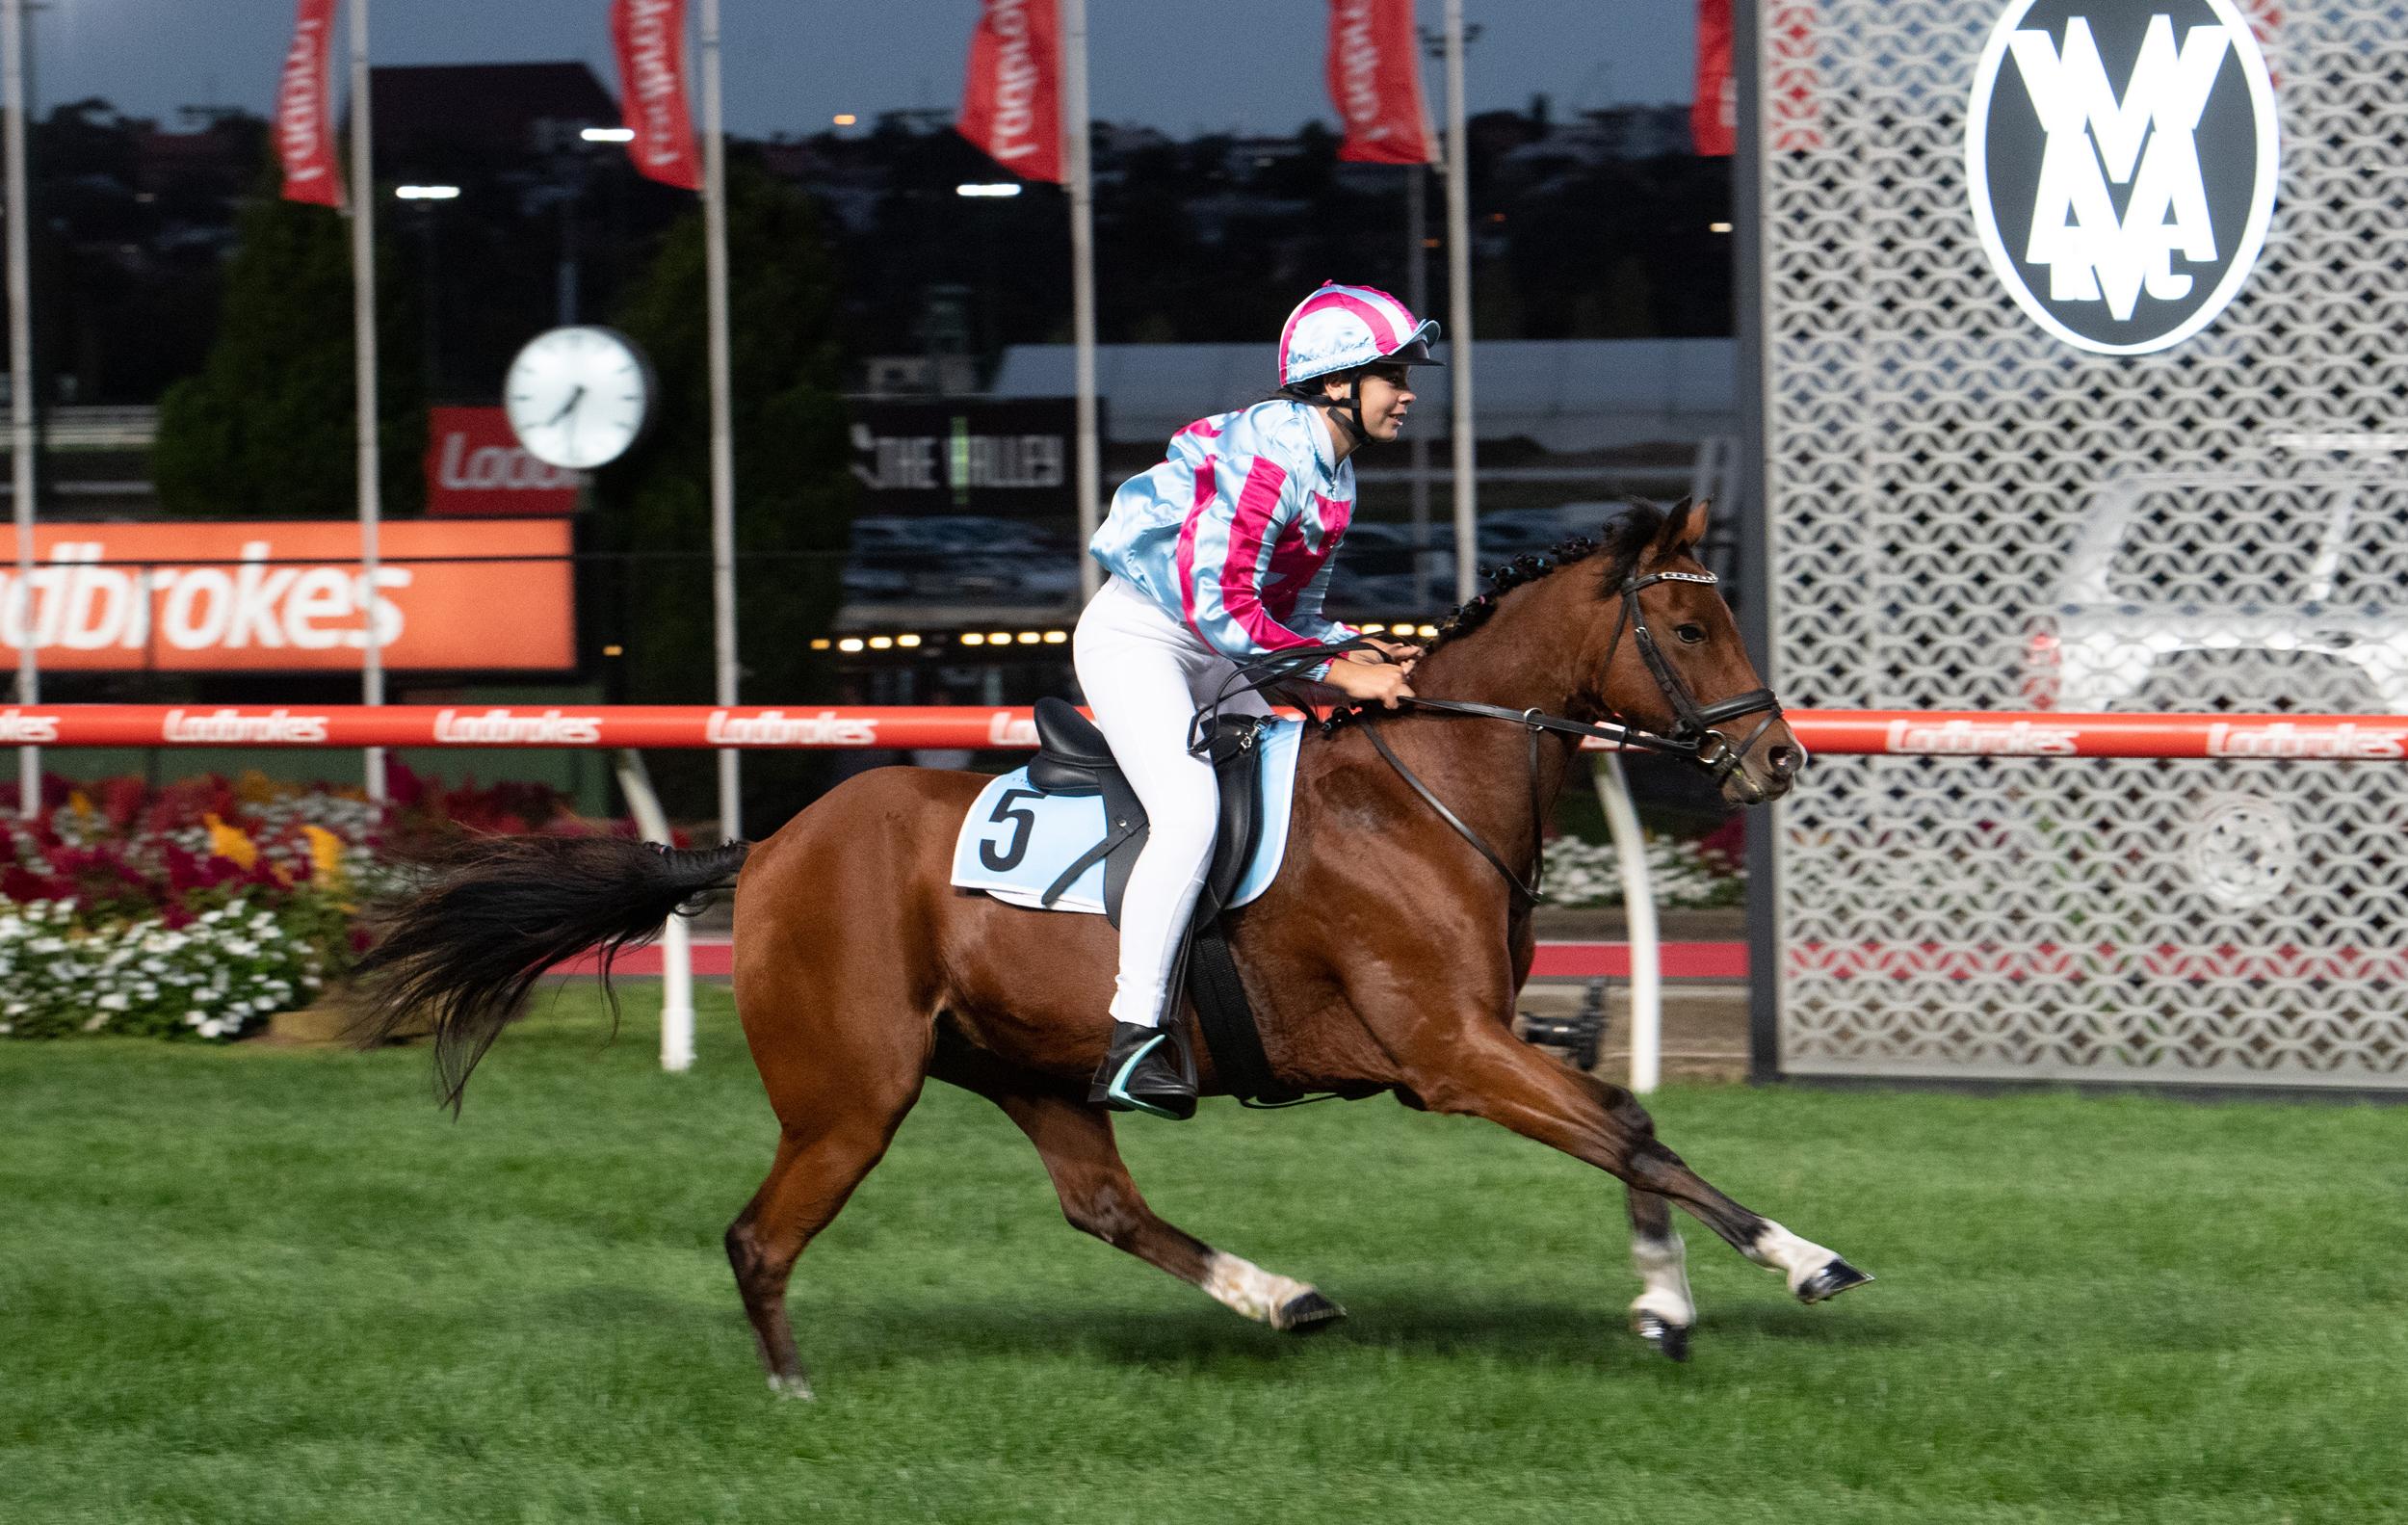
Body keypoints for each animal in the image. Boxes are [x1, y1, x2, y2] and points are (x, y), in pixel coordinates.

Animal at [353, 496, 1865, 1399]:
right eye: (1688, 622)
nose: (1778, 757)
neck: (1424, 787)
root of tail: (765, 851)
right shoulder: (1446, 1052)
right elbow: (1628, 1129)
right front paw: (1802, 1260)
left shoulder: (1476, 1034)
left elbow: (1621, 1110)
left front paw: (1664, 1303)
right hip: (852, 1090)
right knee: (759, 1233)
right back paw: (792, 1392)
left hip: (1032, 1066)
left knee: (1104, 1205)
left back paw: (1281, 1295)